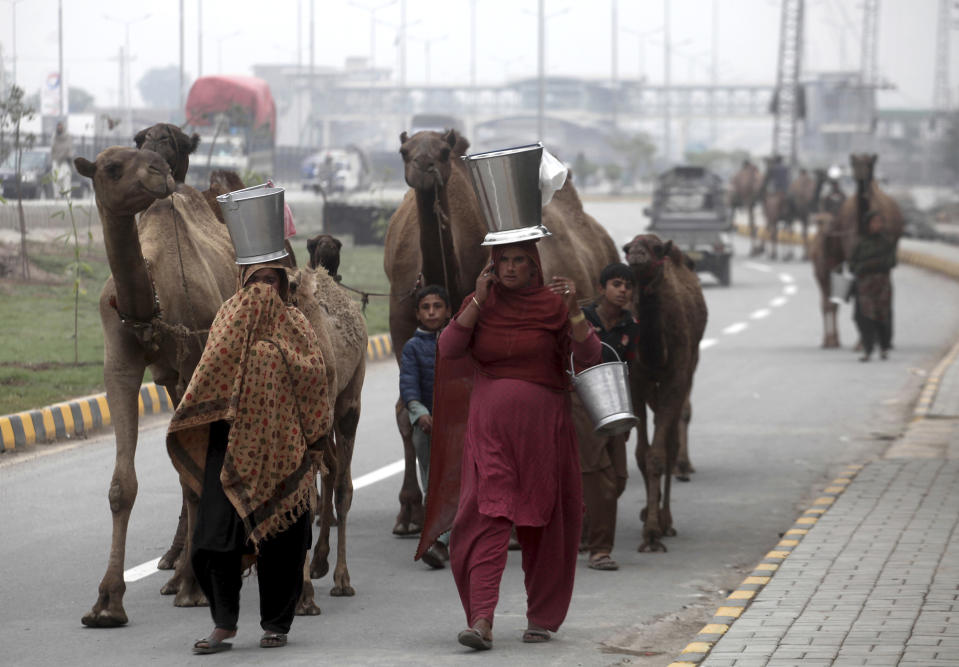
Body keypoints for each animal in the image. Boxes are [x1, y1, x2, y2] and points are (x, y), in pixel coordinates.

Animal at [74, 145, 238, 628]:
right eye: (111, 167)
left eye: (145, 155)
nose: (159, 170)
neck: (150, 308)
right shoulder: (120, 366)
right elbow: (121, 486)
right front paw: (107, 602)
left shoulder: (195, 365)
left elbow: (194, 472)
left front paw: (194, 587)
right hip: (169, 381)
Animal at [386, 129, 628, 536]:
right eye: (404, 150)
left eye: (444, 151)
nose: (423, 165)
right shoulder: (402, 329)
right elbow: (408, 413)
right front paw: (409, 513)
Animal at [620, 235, 708, 552]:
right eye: (627, 248)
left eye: (655, 250)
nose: (636, 253)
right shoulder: (637, 383)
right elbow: (642, 454)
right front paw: (649, 519)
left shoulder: (675, 379)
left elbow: (659, 454)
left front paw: (654, 531)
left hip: (688, 369)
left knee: (670, 441)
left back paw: (667, 519)